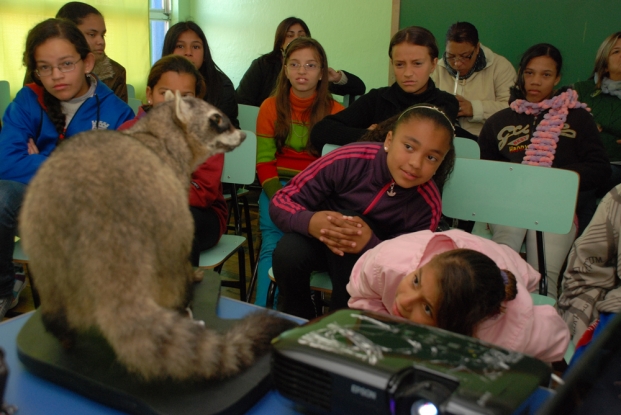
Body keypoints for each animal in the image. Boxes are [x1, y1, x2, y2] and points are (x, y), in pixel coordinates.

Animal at [20, 92, 296, 382]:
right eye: (217, 119)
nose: (243, 135)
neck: (159, 129)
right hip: (164, 222)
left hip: (44, 235)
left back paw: (61, 329)